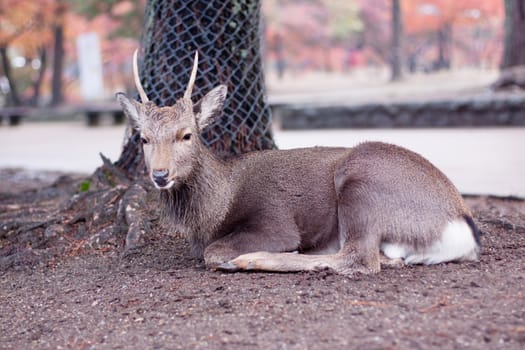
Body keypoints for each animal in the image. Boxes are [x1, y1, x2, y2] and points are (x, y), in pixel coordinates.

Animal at [116, 51, 482, 276]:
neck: (216, 210)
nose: (160, 175)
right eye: (143, 138)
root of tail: (461, 227)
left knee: (360, 258)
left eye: (187, 134)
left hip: (362, 184)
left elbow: (214, 252)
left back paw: (252, 260)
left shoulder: (275, 221)